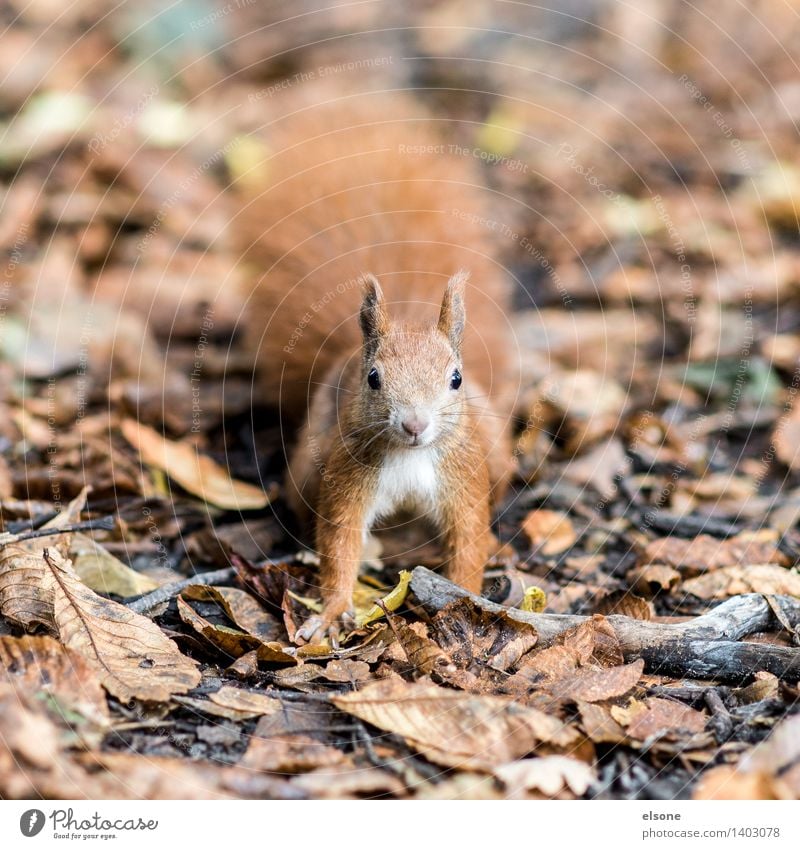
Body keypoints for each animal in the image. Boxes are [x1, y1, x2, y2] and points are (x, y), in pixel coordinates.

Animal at [238, 88, 520, 644]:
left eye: (455, 379)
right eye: (374, 379)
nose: (414, 425)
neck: (411, 459)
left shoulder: (463, 477)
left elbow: (470, 538)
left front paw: (469, 598)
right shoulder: (349, 475)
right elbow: (339, 539)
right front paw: (330, 612)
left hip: (495, 452)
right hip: (308, 466)